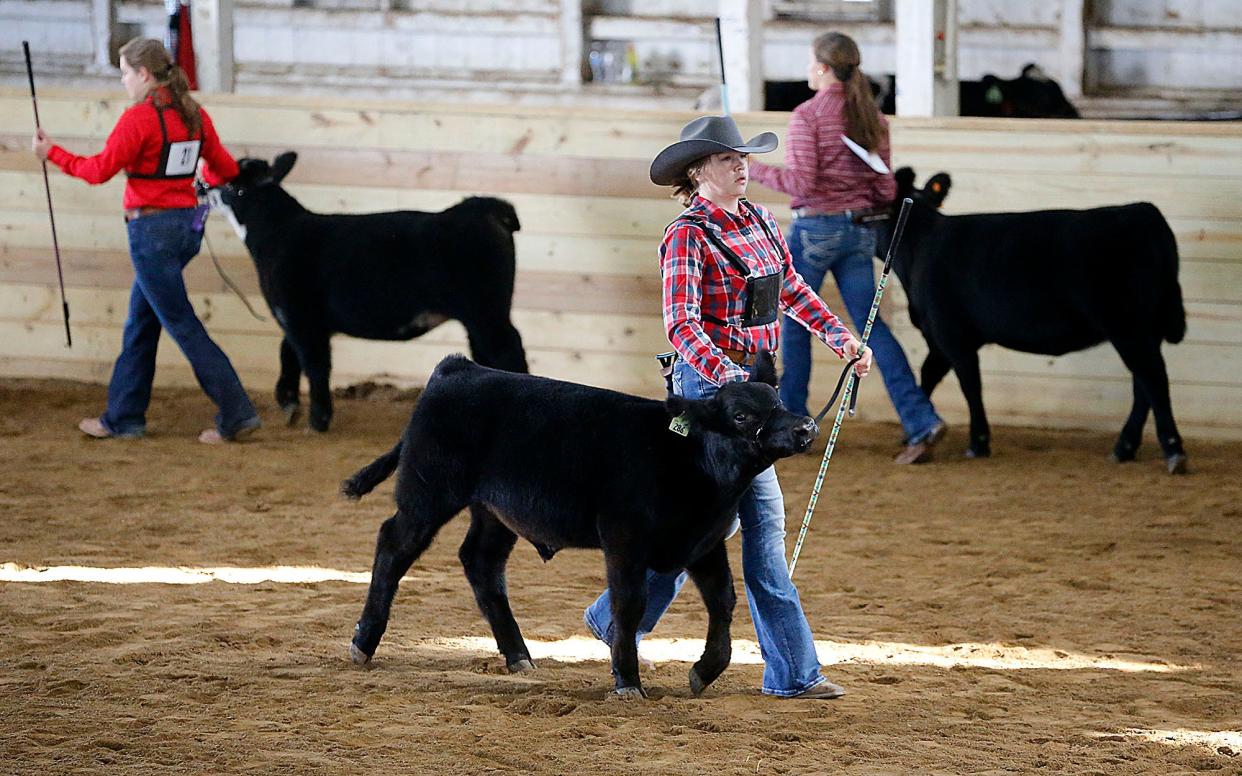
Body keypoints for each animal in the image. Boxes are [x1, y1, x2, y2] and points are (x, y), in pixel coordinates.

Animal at [216, 151, 526, 429]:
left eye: (235, 187)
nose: (206, 186)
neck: (278, 230)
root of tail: (482, 209)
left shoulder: (298, 313)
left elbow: (315, 364)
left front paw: (318, 420)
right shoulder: (301, 317)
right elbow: (288, 351)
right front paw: (289, 403)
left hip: (486, 311)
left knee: (507, 350)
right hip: (480, 316)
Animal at [345, 350, 819, 695]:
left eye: (778, 402)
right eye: (742, 416)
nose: (806, 428)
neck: (688, 461)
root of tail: (458, 367)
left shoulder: (703, 541)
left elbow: (723, 601)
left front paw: (703, 671)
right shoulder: (624, 539)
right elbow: (629, 605)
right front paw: (627, 682)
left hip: (495, 511)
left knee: (481, 562)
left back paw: (518, 655)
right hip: (427, 492)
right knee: (394, 546)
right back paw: (363, 643)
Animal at [879, 165, 1187, 471]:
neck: (920, 247)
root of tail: (1143, 211)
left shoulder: (951, 335)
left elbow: (970, 386)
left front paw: (977, 443)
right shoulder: (940, 338)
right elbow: (929, 375)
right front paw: (915, 432)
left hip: (1128, 327)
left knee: (1153, 379)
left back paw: (1173, 452)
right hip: (1146, 329)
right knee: (1143, 385)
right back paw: (1124, 448)